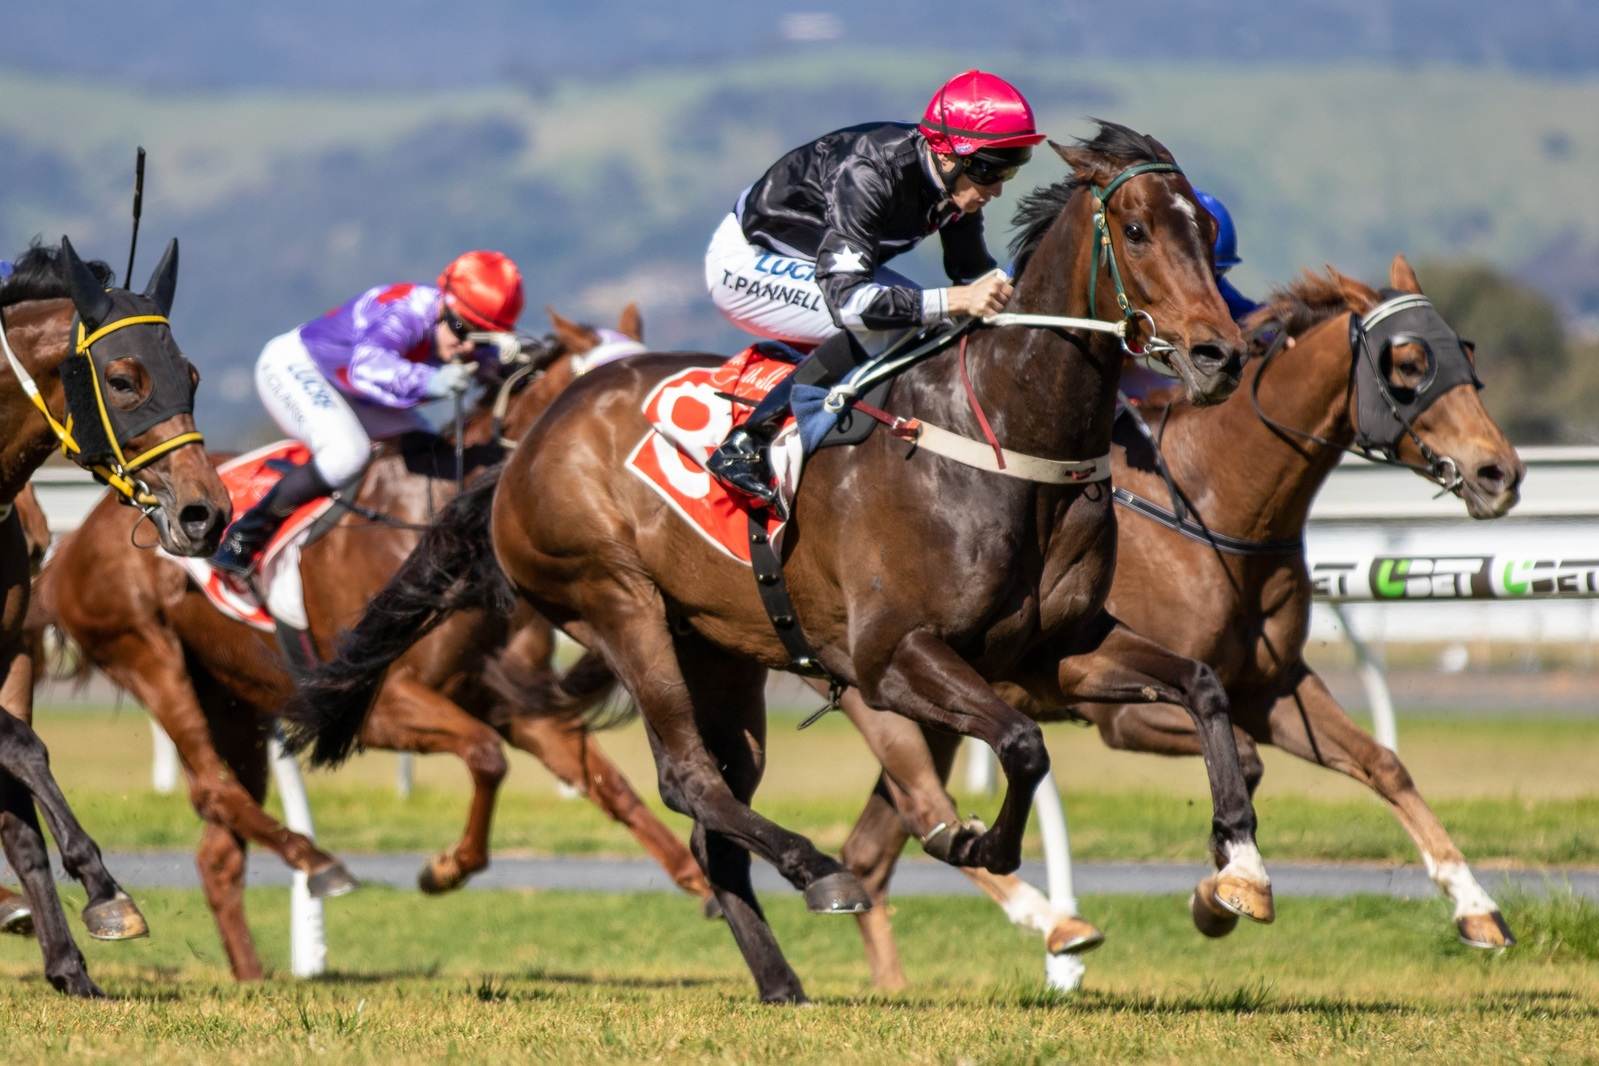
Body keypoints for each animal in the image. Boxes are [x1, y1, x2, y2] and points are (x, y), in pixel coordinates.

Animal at [1, 238, 230, 996]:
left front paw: (70, 964)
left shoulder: (9, 653)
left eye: (190, 374)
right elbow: (25, 749)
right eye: (124, 379)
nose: (206, 512)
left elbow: (18, 810)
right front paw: (105, 888)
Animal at [29, 306, 710, 981]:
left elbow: (609, 786)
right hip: (147, 654)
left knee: (219, 847)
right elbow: (487, 756)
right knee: (212, 788)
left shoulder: (516, 705)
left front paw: (699, 877)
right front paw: (445, 869)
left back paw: (255, 969)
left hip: (232, 703)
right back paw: (318, 864)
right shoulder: (376, 706)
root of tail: (76, 542)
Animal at [284, 122, 1269, 1004]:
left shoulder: (1055, 650)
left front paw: (1239, 868)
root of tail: (522, 450)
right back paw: (816, 868)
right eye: (1136, 230)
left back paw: (780, 981)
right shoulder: (890, 657)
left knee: (713, 820)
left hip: (718, 654)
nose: (1219, 353)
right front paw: (974, 844)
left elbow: (1200, 690)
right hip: (616, 602)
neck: (999, 434)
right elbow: (1023, 746)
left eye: (1203, 232)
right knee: (687, 780)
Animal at [833, 256, 1526, 989]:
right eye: (1409, 362)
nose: (1499, 472)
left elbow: (1381, 763)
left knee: (871, 850)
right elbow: (1245, 761)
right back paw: (1054, 923)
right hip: (888, 695)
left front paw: (1476, 907)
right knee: (920, 811)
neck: (1214, 505)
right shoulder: (1119, 709)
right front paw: (1219, 892)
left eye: (1466, 354)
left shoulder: (1267, 684)